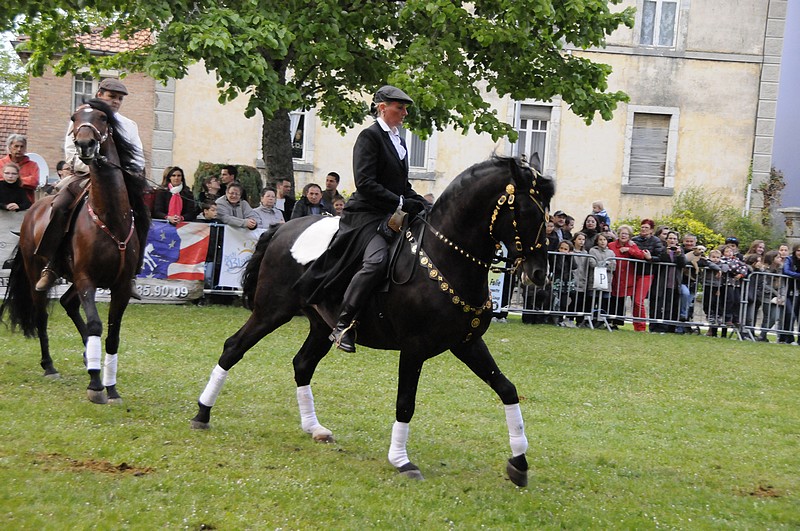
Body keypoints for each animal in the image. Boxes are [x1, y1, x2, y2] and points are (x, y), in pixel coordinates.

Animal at [0, 99, 149, 404]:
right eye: (74, 118)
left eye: (103, 117)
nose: (84, 144)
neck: (109, 218)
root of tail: (32, 212)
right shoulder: (86, 280)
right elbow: (94, 325)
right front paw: (95, 385)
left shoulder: (119, 287)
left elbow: (112, 336)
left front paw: (111, 387)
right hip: (39, 276)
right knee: (42, 316)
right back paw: (49, 366)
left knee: (68, 304)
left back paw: (86, 356)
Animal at [191, 155, 553, 486]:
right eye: (526, 212)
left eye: (547, 215)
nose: (539, 274)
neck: (444, 257)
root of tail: (282, 228)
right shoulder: (414, 349)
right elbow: (405, 403)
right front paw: (401, 460)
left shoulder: (467, 344)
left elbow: (507, 389)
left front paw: (519, 462)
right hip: (271, 311)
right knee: (234, 348)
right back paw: (202, 413)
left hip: (321, 325)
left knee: (302, 364)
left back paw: (314, 427)